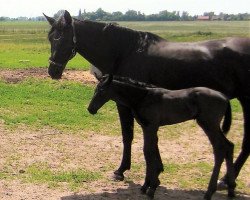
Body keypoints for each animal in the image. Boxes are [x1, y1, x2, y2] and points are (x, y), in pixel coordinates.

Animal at [87, 74, 234, 199]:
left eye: (101, 90)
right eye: (95, 89)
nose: (90, 109)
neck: (143, 97)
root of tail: (225, 97)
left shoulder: (151, 126)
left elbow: (148, 151)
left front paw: (152, 188)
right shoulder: (146, 127)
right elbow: (149, 151)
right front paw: (147, 185)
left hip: (209, 124)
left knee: (220, 148)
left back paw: (209, 192)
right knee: (229, 146)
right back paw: (231, 189)